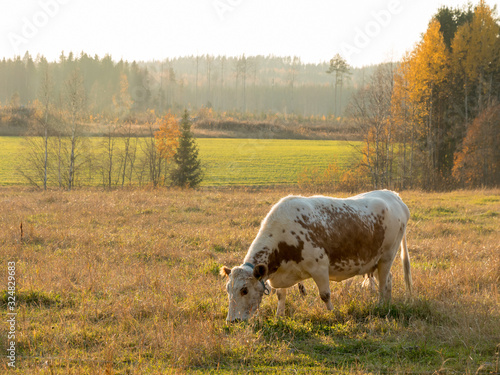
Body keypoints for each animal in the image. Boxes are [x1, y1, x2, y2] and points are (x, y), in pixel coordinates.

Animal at [221, 191, 412, 324]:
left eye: (244, 290)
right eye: (228, 290)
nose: (232, 321)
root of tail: (392, 195)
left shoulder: (319, 267)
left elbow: (325, 295)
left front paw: (333, 314)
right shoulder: (281, 271)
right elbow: (281, 295)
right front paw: (279, 316)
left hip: (387, 256)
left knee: (383, 283)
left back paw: (381, 305)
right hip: (378, 261)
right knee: (388, 280)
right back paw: (387, 304)